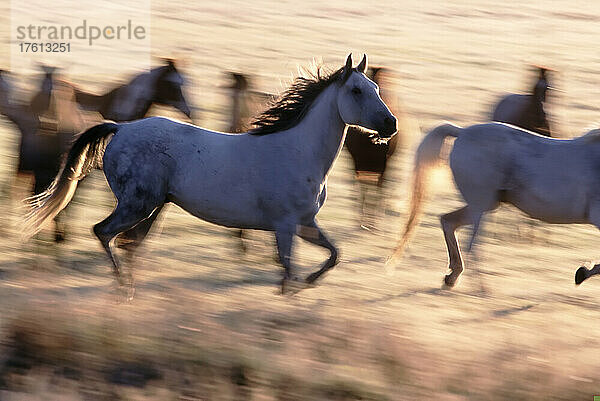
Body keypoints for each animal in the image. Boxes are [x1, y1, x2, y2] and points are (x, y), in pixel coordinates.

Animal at [24, 54, 398, 296]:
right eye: (356, 91)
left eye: (376, 87)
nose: (391, 124)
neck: (297, 152)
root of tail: (120, 128)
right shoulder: (285, 225)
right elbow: (288, 268)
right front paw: (289, 295)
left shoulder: (306, 224)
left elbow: (334, 254)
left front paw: (308, 284)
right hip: (137, 205)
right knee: (103, 233)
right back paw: (122, 288)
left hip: (154, 208)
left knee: (128, 243)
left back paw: (130, 287)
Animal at [386, 122, 600, 288]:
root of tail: (462, 132)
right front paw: (582, 273)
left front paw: (582, 272)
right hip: (481, 207)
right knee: (472, 245)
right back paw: (483, 291)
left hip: (484, 205)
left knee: (448, 222)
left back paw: (452, 277)